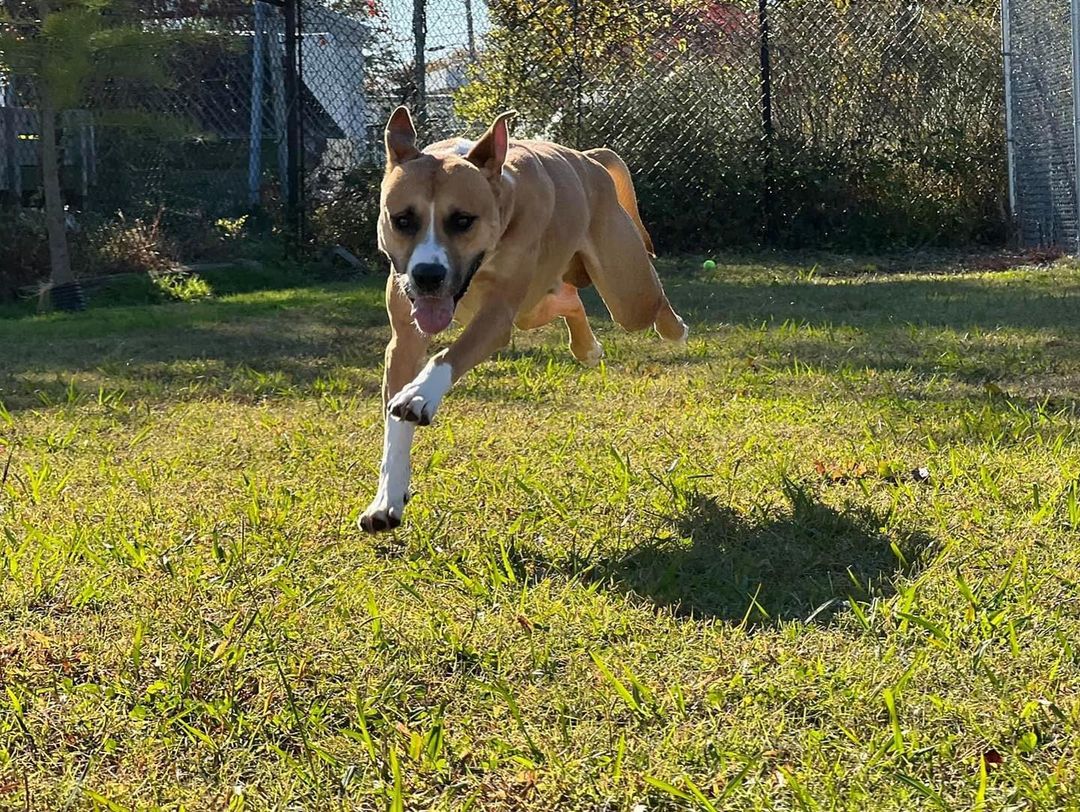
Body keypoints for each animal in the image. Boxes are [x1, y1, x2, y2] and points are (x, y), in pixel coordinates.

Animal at [358, 106, 686, 533]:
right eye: (402, 220)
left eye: (462, 220)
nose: (428, 275)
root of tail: (589, 159)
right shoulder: (404, 340)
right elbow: (395, 422)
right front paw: (387, 499)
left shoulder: (496, 317)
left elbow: (447, 355)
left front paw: (419, 394)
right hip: (533, 307)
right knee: (568, 298)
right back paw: (587, 347)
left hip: (628, 292)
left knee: (650, 301)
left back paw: (675, 329)